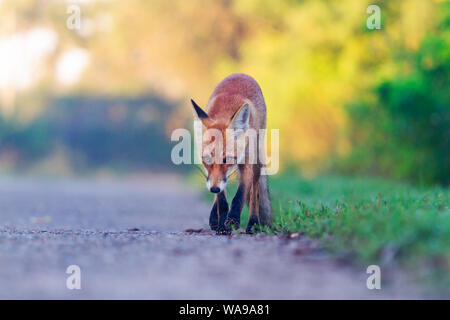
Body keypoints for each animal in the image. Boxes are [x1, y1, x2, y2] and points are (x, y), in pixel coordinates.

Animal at [192, 74, 272, 234]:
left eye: (227, 159)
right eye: (207, 159)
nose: (213, 189)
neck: (225, 109)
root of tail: (241, 74)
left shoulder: (247, 161)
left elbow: (240, 196)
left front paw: (233, 220)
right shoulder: (214, 178)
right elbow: (221, 200)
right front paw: (221, 224)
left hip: (257, 159)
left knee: (255, 194)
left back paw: (253, 223)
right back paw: (215, 219)